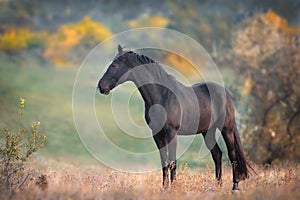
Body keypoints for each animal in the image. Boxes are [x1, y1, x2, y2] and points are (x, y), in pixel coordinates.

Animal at [97, 45, 250, 191]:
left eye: (114, 65)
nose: (100, 87)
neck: (163, 95)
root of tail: (226, 93)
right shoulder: (157, 134)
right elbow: (164, 162)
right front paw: (164, 188)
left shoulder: (172, 132)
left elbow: (172, 162)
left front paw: (173, 187)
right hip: (208, 131)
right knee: (217, 155)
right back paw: (217, 186)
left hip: (226, 129)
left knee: (232, 155)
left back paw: (235, 186)